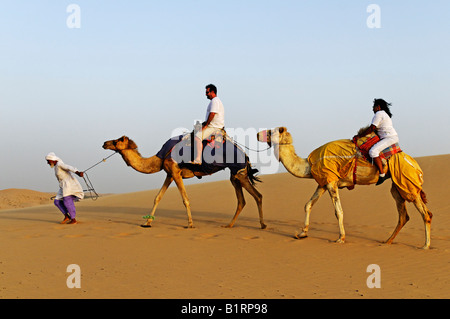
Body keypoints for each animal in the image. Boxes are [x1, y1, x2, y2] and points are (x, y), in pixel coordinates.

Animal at [102, 136, 264, 229]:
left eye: (118, 140)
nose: (104, 143)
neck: (159, 158)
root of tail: (245, 154)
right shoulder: (170, 174)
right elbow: (157, 197)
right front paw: (147, 223)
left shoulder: (175, 172)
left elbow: (185, 199)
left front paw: (190, 224)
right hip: (234, 175)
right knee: (242, 200)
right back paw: (229, 225)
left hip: (239, 172)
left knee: (257, 195)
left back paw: (262, 225)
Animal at [256, 127, 432, 250]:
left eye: (270, 131)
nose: (257, 134)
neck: (309, 164)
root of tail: (414, 164)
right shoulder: (323, 182)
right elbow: (308, 205)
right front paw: (302, 233)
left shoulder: (331, 182)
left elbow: (338, 211)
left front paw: (340, 238)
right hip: (397, 185)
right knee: (403, 215)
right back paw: (387, 241)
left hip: (407, 181)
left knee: (425, 213)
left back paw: (425, 245)